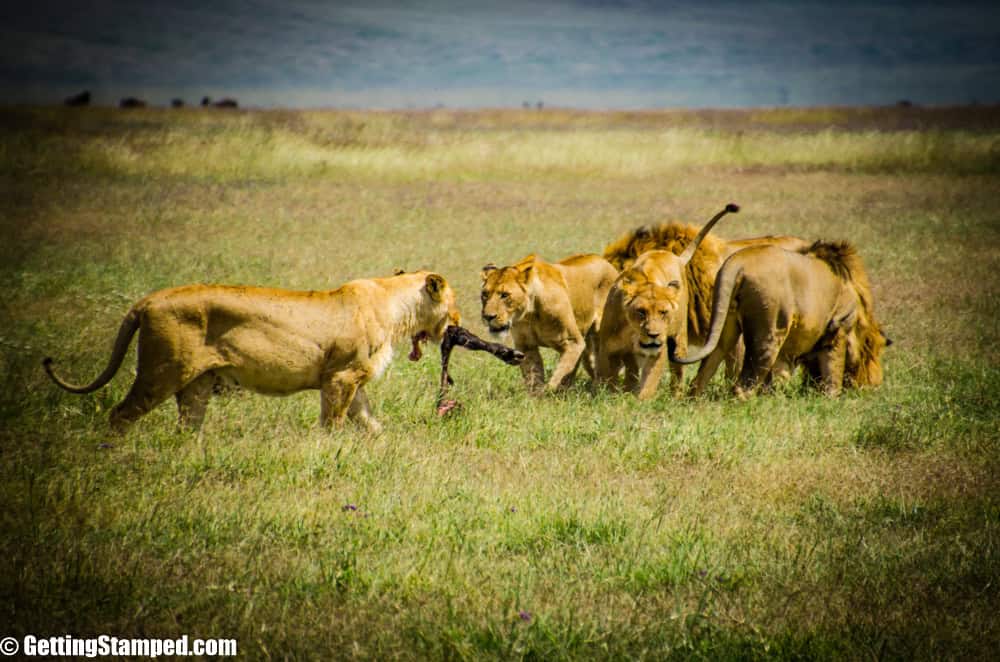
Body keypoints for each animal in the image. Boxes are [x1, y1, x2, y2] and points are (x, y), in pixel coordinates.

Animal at [41, 272, 458, 436]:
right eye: (454, 304)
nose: (459, 322)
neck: (395, 306)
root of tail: (147, 301)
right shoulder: (340, 378)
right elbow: (333, 424)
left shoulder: (352, 381)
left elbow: (371, 424)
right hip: (160, 373)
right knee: (120, 414)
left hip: (196, 385)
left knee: (187, 426)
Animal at [478, 252, 616, 392]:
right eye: (485, 294)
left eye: (505, 295)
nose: (488, 317)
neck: (531, 313)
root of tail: (604, 260)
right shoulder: (526, 346)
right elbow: (533, 376)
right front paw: (537, 395)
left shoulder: (573, 342)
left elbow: (560, 374)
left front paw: (550, 392)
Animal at [596, 202, 740, 400]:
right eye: (640, 311)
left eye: (664, 313)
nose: (654, 335)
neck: (633, 333)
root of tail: (674, 256)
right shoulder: (607, 348)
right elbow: (607, 378)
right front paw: (608, 395)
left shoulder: (659, 352)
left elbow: (648, 384)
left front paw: (639, 402)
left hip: (679, 339)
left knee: (679, 371)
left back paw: (677, 396)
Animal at [668, 244, 888, 400]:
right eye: (876, 351)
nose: (873, 386)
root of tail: (736, 263)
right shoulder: (839, 325)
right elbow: (832, 369)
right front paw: (831, 399)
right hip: (770, 332)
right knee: (742, 388)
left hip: (726, 324)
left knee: (705, 370)